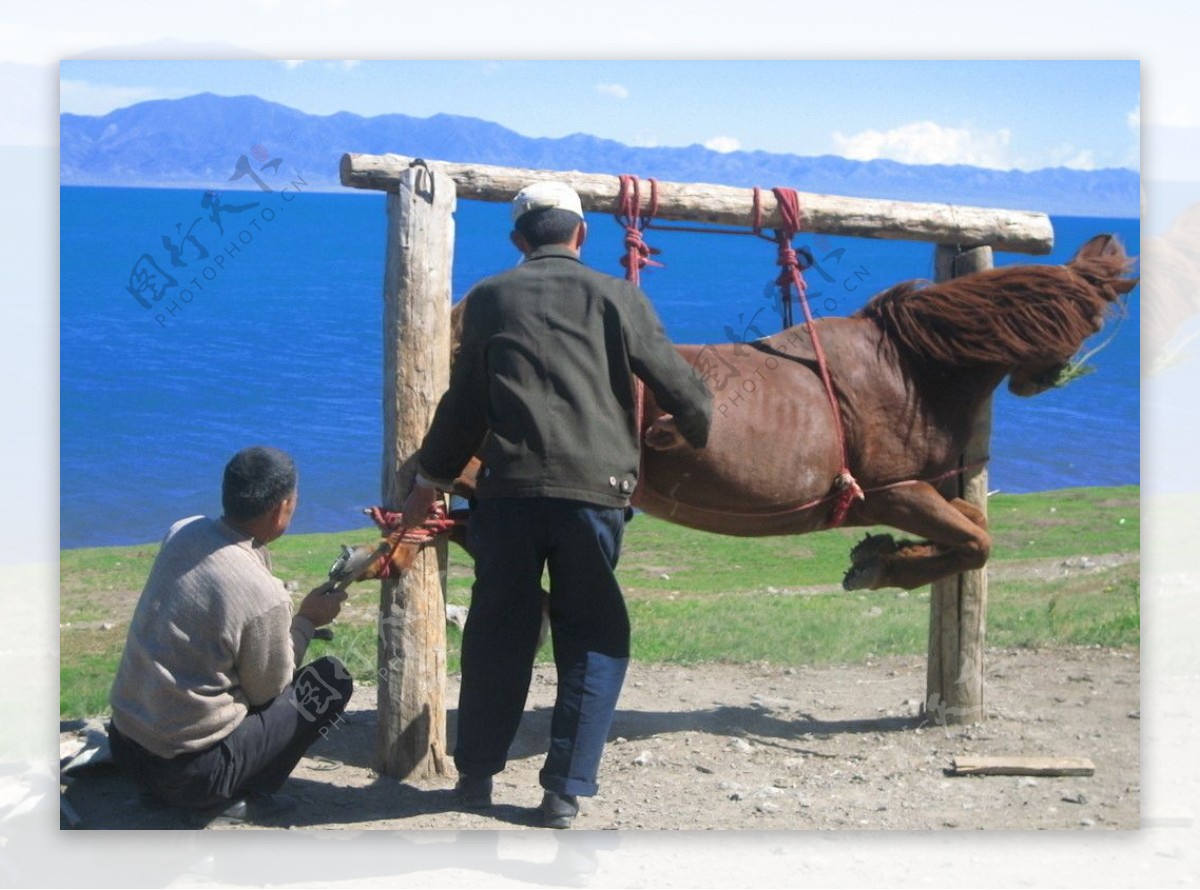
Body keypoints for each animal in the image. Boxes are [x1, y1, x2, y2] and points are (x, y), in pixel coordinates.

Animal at [408, 233, 1128, 594]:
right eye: (1097, 316)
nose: (1046, 380)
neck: (912, 368)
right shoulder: (895, 490)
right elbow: (978, 543)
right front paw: (886, 566)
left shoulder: (920, 491)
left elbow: (973, 529)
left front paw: (886, 556)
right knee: (461, 497)